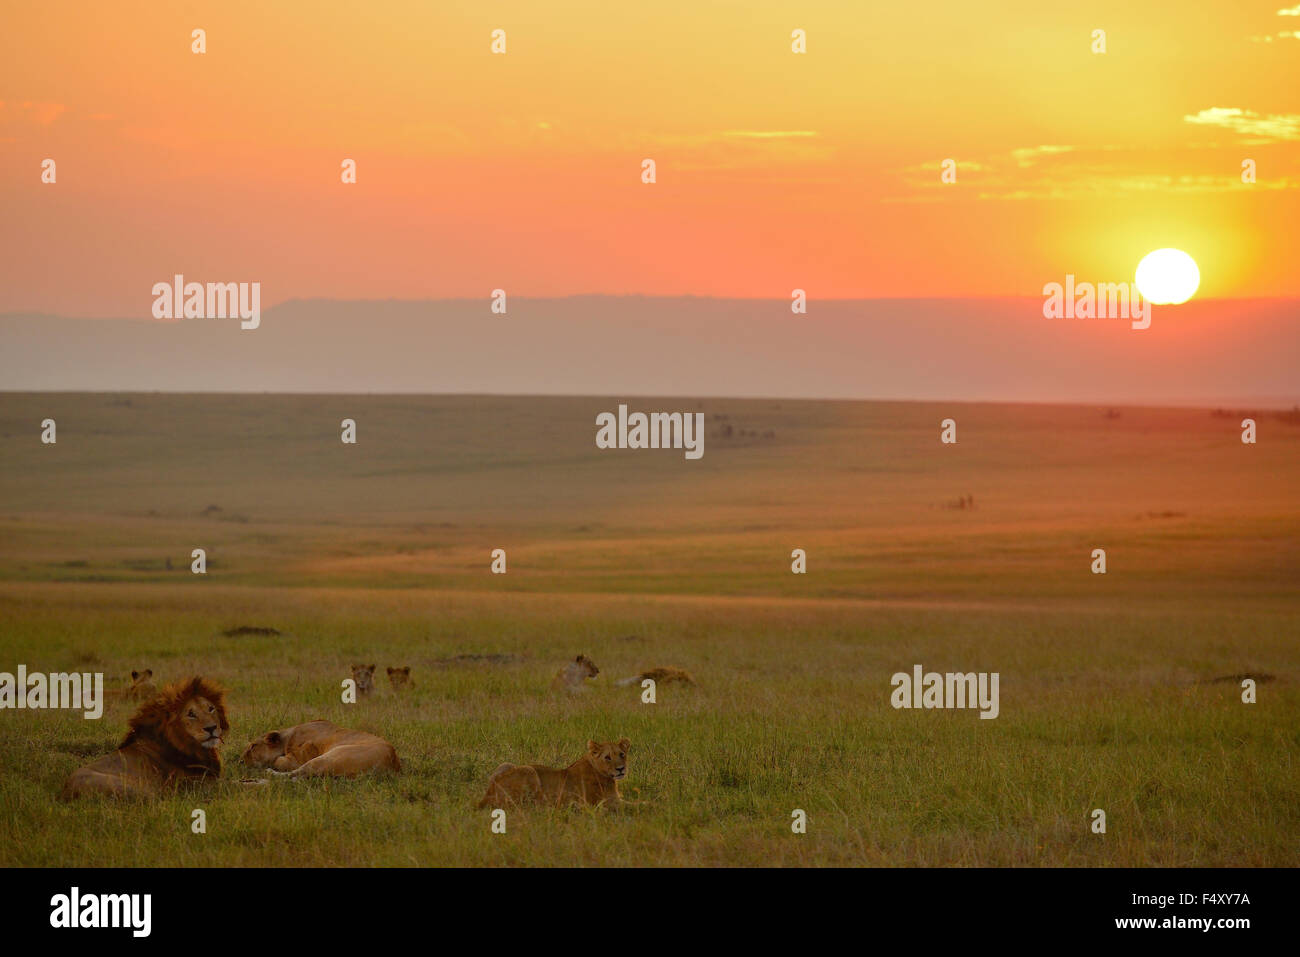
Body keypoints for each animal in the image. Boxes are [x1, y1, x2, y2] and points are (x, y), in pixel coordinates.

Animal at [60, 676, 228, 806]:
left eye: (211, 708)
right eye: (191, 714)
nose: (211, 728)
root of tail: (68, 791)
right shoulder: (199, 783)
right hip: (142, 790)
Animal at [240, 717, 397, 780]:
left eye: (253, 746)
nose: (240, 762)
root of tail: (393, 766)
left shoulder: (298, 757)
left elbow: (279, 760)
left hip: (329, 757)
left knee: (298, 773)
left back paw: (269, 772)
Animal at [478, 738, 629, 806]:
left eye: (622, 754)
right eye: (607, 757)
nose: (620, 769)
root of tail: (486, 797)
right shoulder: (607, 803)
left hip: (506, 764)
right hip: (529, 770)